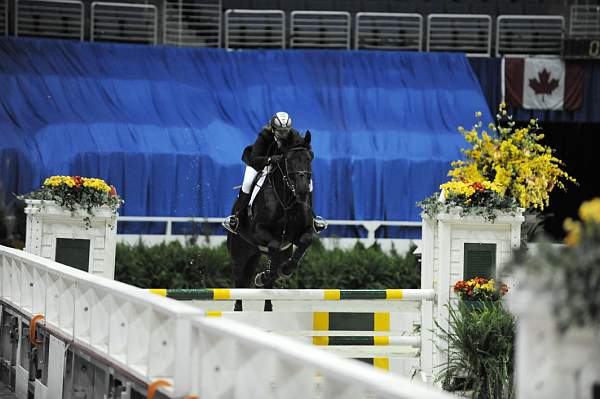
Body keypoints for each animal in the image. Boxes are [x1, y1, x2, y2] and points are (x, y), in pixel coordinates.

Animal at [227, 132, 316, 312]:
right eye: (288, 160)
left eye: (310, 158)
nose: (303, 191)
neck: (286, 200)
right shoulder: (259, 230)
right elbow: (274, 244)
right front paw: (263, 275)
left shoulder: (300, 234)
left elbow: (305, 240)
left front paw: (286, 270)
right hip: (240, 251)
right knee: (239, 279)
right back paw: (239, 308)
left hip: (262, 252)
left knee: (267, 280)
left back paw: (268, 307)